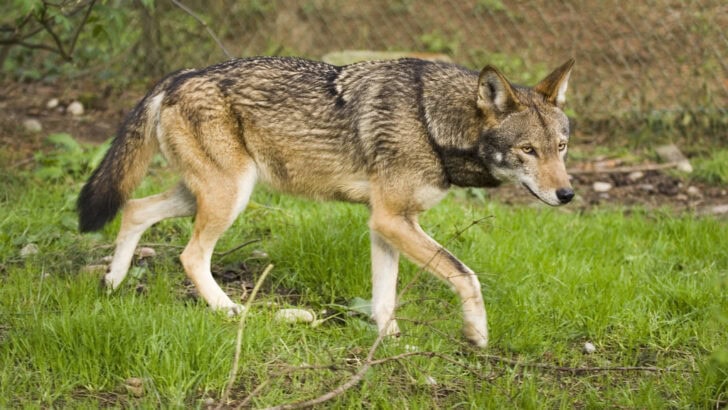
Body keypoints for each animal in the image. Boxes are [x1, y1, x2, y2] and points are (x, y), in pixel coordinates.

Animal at [77, 56, 575, 348]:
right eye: (528, 150)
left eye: (561, 147)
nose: (567, 194)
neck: (431, 122)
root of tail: (176, 75)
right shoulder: (392, 219)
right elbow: (466, 275)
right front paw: (477, 334)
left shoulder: (385, 224)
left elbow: (384, 298)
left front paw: (388, 343)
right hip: (228, 198)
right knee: (190, 254)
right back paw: (229, 311)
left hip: (209, 194)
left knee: (134, 209)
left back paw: (113, 282)